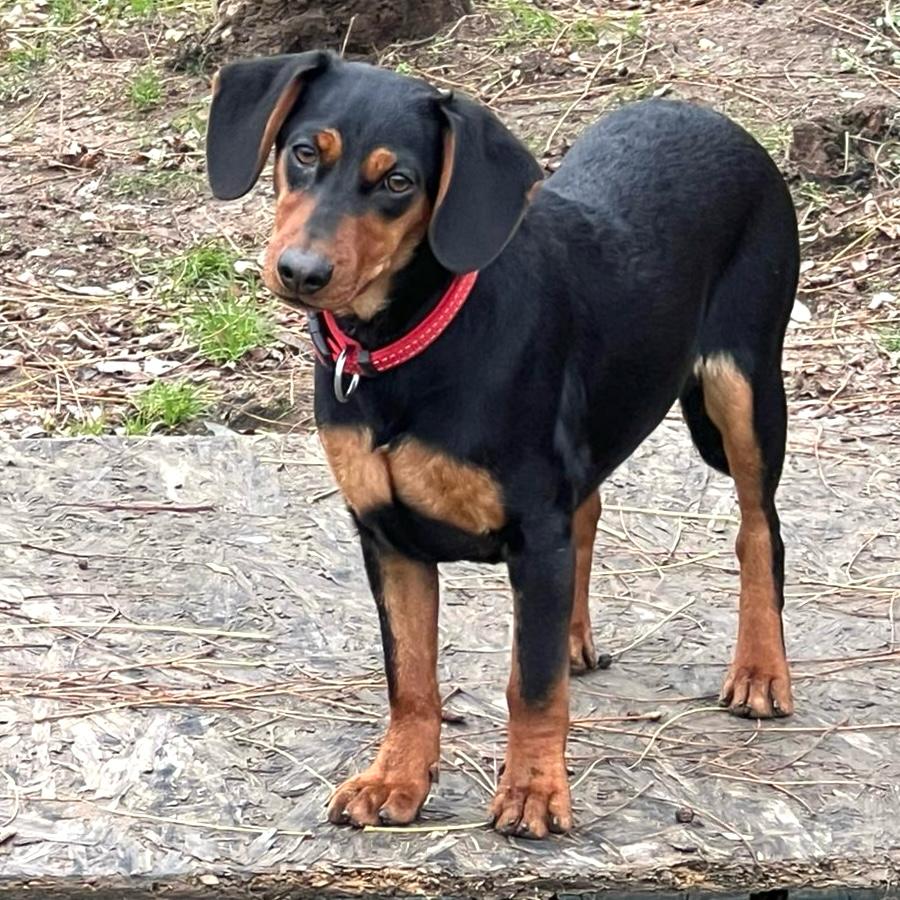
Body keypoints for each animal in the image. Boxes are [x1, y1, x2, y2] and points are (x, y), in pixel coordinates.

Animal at [206, 51, 799, 839]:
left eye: (399, 182)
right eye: (304, 152)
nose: (301, 272)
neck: (407, 346)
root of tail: (708, 115)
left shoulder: (532, 531)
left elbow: (531, 686)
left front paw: (534, 791)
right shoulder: (388, 537)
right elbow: (410, 678)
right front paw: (396, 779)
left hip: (744, 385)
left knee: (759, 530)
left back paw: (760, 670)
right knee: (591, 511)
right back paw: (575, 636)